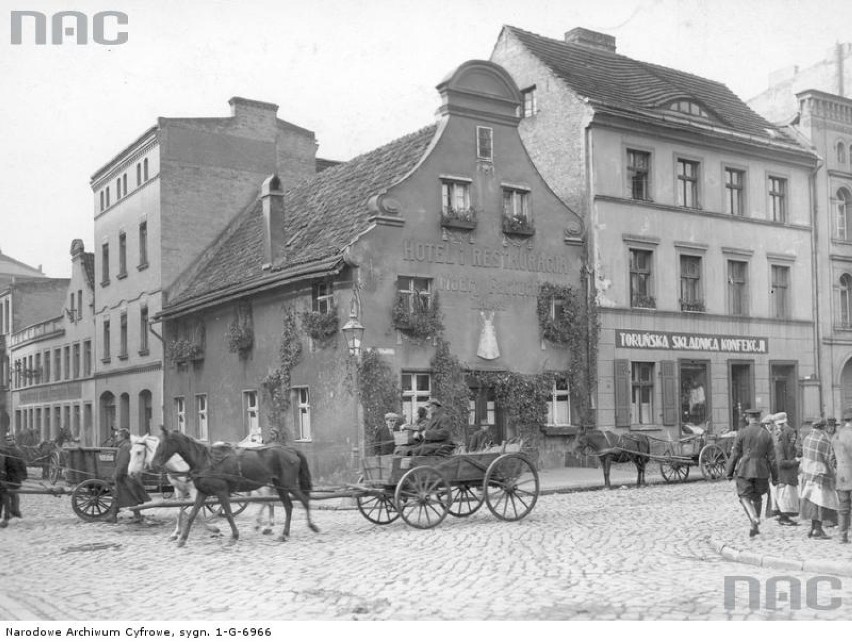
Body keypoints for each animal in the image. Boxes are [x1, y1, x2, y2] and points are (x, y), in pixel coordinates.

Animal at [148, 424, 318, 544]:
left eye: (163, 443)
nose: (153, 464)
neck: (206, 461)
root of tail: (291, 450)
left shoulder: (221, 491)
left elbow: (229, 514)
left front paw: (234, 536)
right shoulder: (203, 492)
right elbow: (192, 514)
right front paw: (182, 539)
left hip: (288, 484)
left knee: (303, 500)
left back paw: (311, 526)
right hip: (280, 485)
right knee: (288, 506)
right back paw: (283, 533)